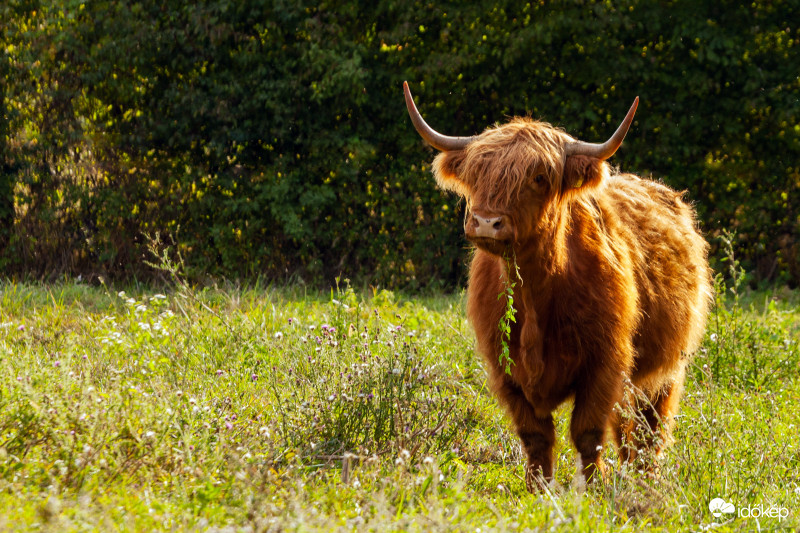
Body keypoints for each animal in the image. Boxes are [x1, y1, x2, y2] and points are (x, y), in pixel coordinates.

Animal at [406, 81, 712, 492]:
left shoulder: (605, 364)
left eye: (538, 177)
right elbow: (536, 435)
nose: (486, 222)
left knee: (650, 428)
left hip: (667, 369)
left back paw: (644, 481)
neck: (536, 294)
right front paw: (537, 490)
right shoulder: (504, 370)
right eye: (476, 173)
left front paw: (592, 490)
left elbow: (588, 432)